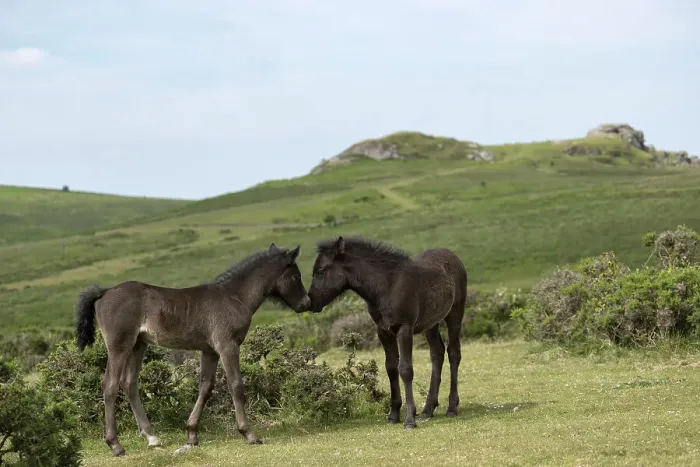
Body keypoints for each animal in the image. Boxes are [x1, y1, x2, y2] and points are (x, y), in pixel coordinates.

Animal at [74, 243, 311, 456]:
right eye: (297, 276)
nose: (306, 303)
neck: (235, 297)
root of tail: (105, 292)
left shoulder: (210, 351)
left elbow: (205, 387)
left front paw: (192, 434)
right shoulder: (228, 345)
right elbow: (236, 384)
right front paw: (249, 434)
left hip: (138, 345)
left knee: (129, 383)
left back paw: (152, 437)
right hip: (119, 345)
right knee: (110, 385)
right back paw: (116, 445)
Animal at [307, 236, 467, 429]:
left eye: (320, 271)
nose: (310, 301)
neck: (386, 286)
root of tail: (452, 255)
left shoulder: (404, 328)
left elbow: (405, 369)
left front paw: (409, 419)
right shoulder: (383, 331)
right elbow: (391, 368)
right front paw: (394, 414)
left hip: (455, 313)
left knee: (454, 353)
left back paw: (452, 406)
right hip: (431, 322)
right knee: (437, 352)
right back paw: (428, 409)